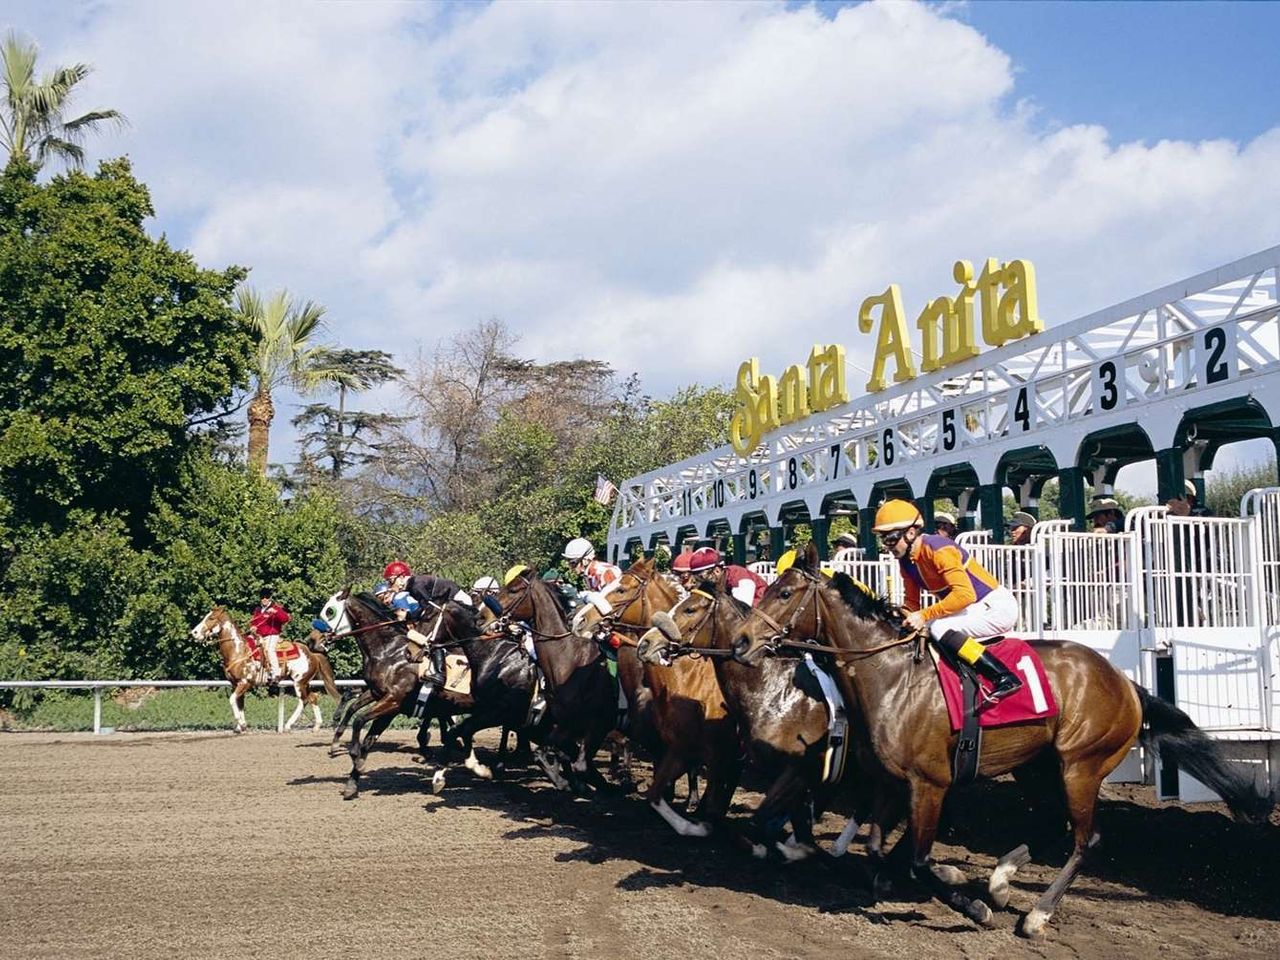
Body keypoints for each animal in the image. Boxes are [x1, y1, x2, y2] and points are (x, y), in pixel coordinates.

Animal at [190, 609, 340, 737]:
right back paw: (316, 726)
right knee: (313, 697)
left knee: (303, 700)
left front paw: (241, 723)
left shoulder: (245, 683)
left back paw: (288, 725)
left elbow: (232, 700)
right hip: (305, 683)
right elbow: (240, 703)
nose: (194, 632)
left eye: (211, 618)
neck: (239, 651)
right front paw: (240, 727)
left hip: (299, 682)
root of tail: (312, 654)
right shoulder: (235, 684)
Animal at [732, 547, 1269, 942]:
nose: (740, 642)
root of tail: (1122, 680)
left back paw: (1034, 914)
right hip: (1036, 767)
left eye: (783, 592)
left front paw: (968, 905)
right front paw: (951, 883)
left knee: (1086, 839)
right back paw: (1001, 883)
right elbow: (878, 850)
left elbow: (918, 861)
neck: (890, 676)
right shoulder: (889, 782)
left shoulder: (930, 784)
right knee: (1052, 827)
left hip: (1081, 765)